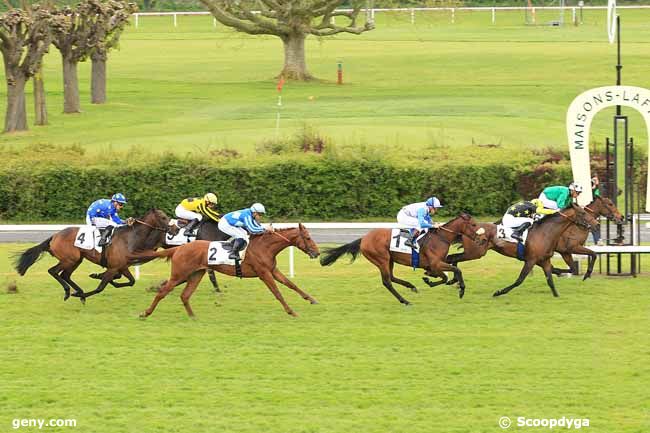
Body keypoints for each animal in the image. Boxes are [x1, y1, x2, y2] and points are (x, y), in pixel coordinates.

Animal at [14, 208, 175, 300]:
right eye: (163, 217)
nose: (174, 229)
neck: (130, 238)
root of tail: (54, 236)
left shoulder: (122, 266)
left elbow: (130, 281)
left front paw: (98, 277)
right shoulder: (114, 267)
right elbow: (100, 287)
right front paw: (84, 293)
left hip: (76, 259)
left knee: (65, 275)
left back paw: (77, 290)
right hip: (69, 259)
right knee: (53, 271)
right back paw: (69, 291)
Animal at [134, 223, 318, 318]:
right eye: (308, 238)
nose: (317, 252)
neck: (265, 247)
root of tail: (179, 248)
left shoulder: (273, 270)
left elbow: (292, 284)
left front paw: (311, 299)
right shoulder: (264, 273)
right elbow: (277, 292)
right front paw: (291, 311)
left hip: (195, 274)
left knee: (185, 295)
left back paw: (193, 316)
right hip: (180, 274)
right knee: (163, 292)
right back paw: (145, 312)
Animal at [318, 211, 486, 302]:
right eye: (473, 225)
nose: (483, 239)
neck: (441, 238)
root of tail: (364, 239)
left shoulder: (438, 263)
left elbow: (448, 272)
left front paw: (430, 278)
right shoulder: (436, 263)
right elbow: (452, 273)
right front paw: (461, 290)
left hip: (389, 260)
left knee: (391, 278)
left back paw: (411, 287)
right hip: (382, 259)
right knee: (387, 282)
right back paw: (404, 301)